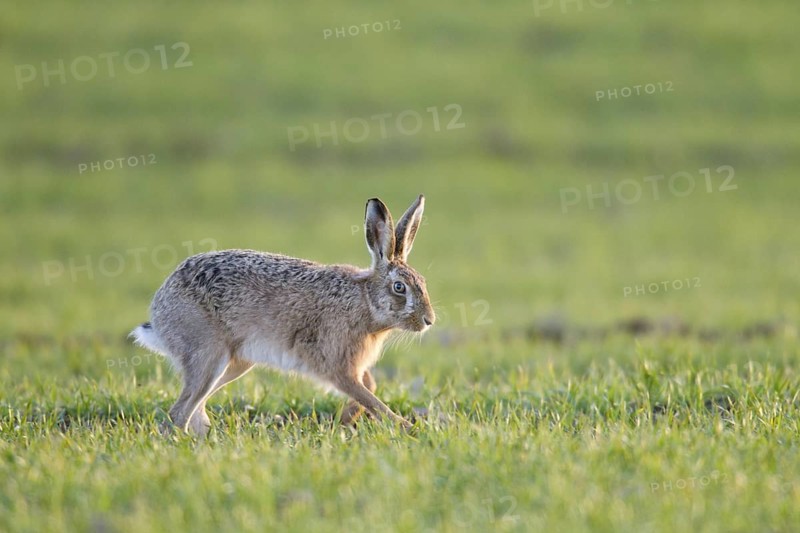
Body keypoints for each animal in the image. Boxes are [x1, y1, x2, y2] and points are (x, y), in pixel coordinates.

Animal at [129, 195, 435, 435]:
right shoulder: (338, 366)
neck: (365, 301)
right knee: (179, 412)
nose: (429, 320)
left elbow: (370, 385)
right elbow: (370, 397)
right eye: (399, 287)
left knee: (193, 408)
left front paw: (347, 418)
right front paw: (408, 428)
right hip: (208, 355)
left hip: (235, 363)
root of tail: (159, 310)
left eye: (423, 281)